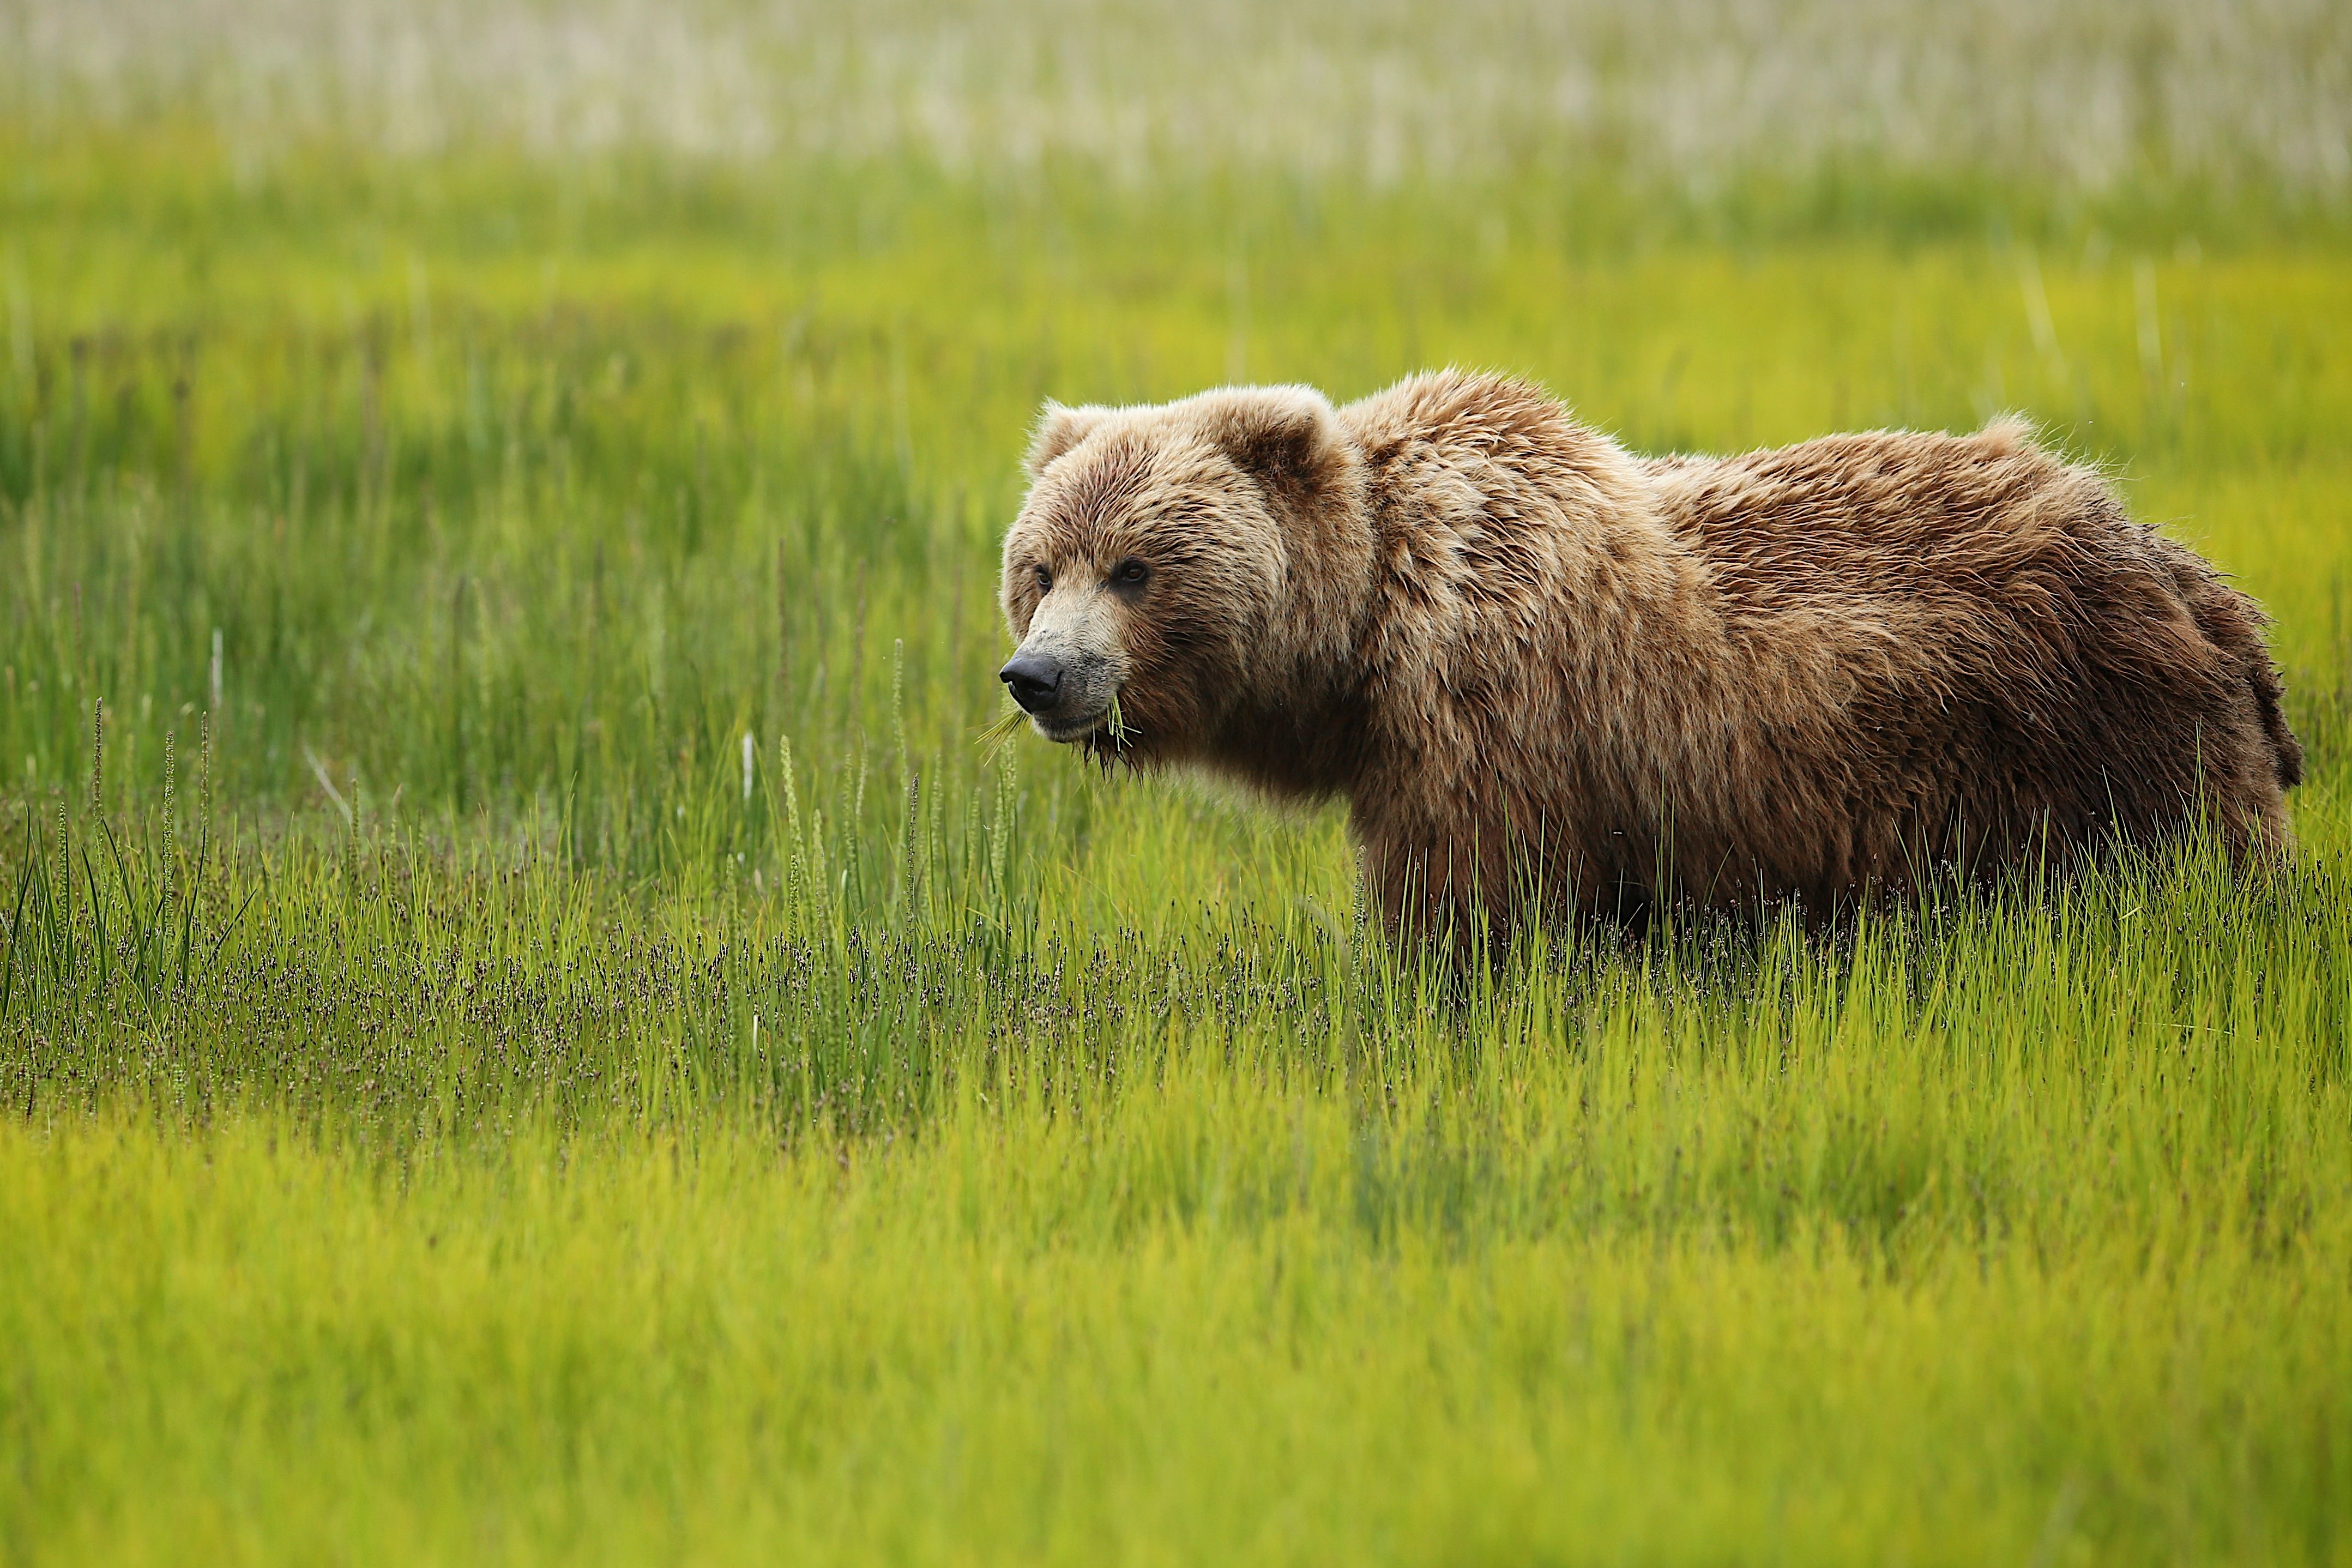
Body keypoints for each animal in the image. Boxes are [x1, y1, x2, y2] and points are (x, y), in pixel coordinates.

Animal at [997, 369, 2295, 945]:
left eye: (1134, 567)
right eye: (1041, 568)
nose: (1039, 676)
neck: (1368, 631)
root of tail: (2183, 566)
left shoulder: (1494, 720)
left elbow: (1471, 909)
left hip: (2099, 734)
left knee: (2200, 869)